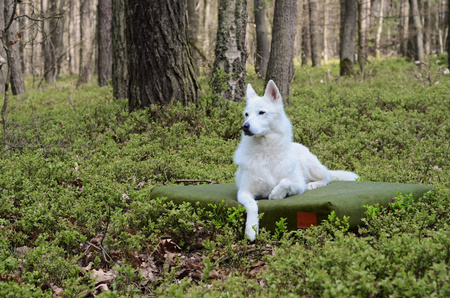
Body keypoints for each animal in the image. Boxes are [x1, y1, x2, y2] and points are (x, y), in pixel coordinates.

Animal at [234, 80, 360, 241]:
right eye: (246, 114)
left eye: (261, 112)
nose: (244, 126)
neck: (266, 152)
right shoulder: (244, 192)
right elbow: (252, 206)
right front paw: (251, 228)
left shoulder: (298, 184)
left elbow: (285, 182)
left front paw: (276, 194)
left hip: (311, 166)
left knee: (326, 177)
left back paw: (312, 184)